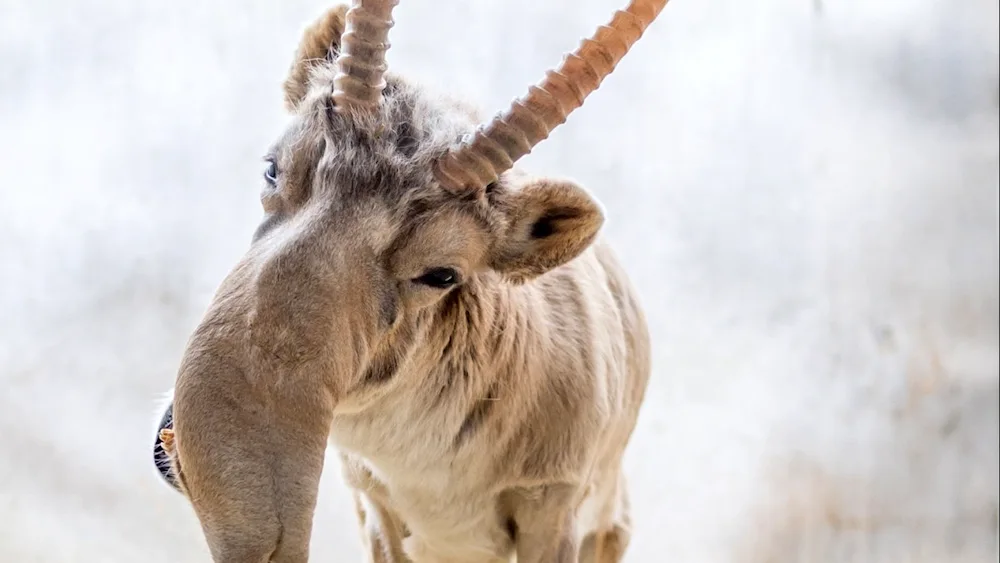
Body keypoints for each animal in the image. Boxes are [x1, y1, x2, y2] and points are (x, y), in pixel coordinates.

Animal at [156, 0, 668, 560]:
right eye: (272, 168)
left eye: (442, 273)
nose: (251, 507)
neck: (430, 476)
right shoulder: (373, 505)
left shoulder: (553, 506)